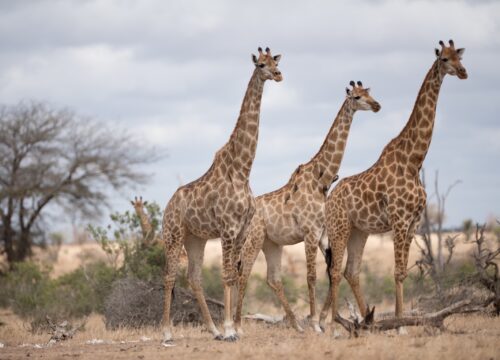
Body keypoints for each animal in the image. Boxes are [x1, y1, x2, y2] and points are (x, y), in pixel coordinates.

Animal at [162, 47, 284, 344]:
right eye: (261, 64)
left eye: (275, 62)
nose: (278, 75)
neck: (242, 170)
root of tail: (167, 206)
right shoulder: (228, 229)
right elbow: (227, 275)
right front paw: (230, 329)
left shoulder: (241, 230)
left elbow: (235, 275)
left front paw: (230, 329)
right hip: (174, 234)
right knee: (169, 277)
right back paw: (167, 331)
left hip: (196, 239)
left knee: (194, 277)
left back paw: (213, 330)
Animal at [235, 81, 382, 332]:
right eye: (356, 97)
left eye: (369, 93)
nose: (376, 106)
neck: (320, 179)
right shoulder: (310, 232)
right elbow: (311, 276)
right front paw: (315, 323)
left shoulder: (322, 234)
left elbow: (331, 273)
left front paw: (322, 320)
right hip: (254, 239)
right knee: (244, 272)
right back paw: (237, 324)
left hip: (271, 243)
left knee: (272, 278)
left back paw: (296, 324)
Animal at [324, 40, 468, 332]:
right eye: (445, 59)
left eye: (459, 56)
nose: (463, 72)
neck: (413, 161)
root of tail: (330, 197)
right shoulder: (400, 219)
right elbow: (398, 272)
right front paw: (401, 324)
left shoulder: (414, 221)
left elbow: (402, 272)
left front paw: (398, 323)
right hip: (339, 227)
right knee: (335, 270)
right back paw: (334, 325)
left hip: (359, 231)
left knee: (351, 270)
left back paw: (367, 321)